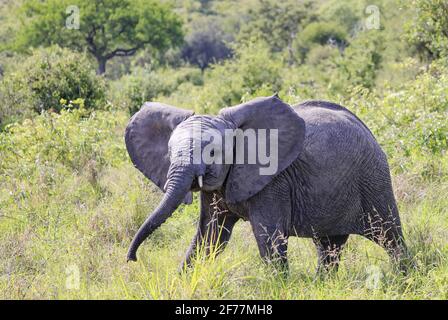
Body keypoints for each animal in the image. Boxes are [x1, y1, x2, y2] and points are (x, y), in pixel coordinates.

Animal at [123, 94, 410, 274]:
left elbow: (268, 239)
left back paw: (404, 279)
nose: (132, 259)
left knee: (389, 236)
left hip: (373, 177)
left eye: (213, 152)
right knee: (329, 246)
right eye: (170, 153)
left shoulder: (274, 182)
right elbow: (209, 238)